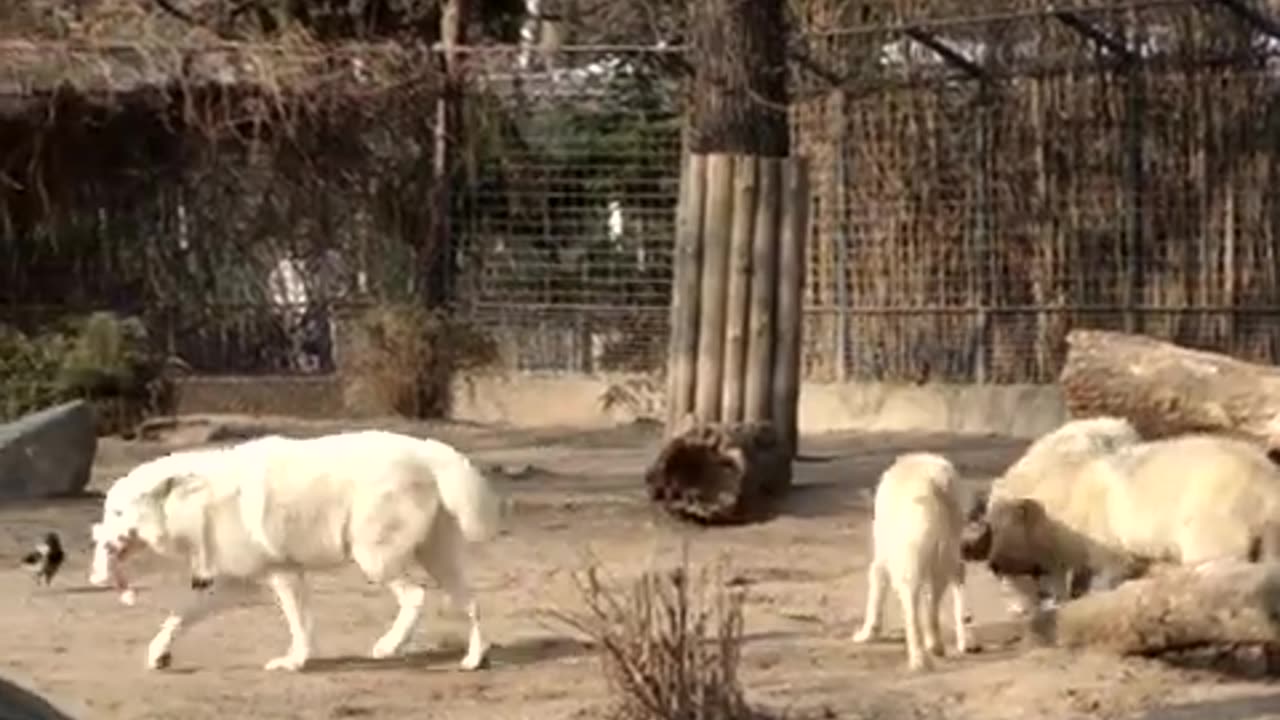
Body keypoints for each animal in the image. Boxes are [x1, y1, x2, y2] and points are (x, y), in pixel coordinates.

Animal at [88, 427, 504, 671]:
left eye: (117, 512)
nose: (97, 540)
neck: (195, 501)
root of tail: (429, 451)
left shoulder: (282, 575)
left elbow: (298, 622)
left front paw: (295, 661)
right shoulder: (235, 583)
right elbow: (179, 616)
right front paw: (158, 653)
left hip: (373, 559)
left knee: (416, 595)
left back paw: (388, 647)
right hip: (435, 559)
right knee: (472, 603)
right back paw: (473, 659)